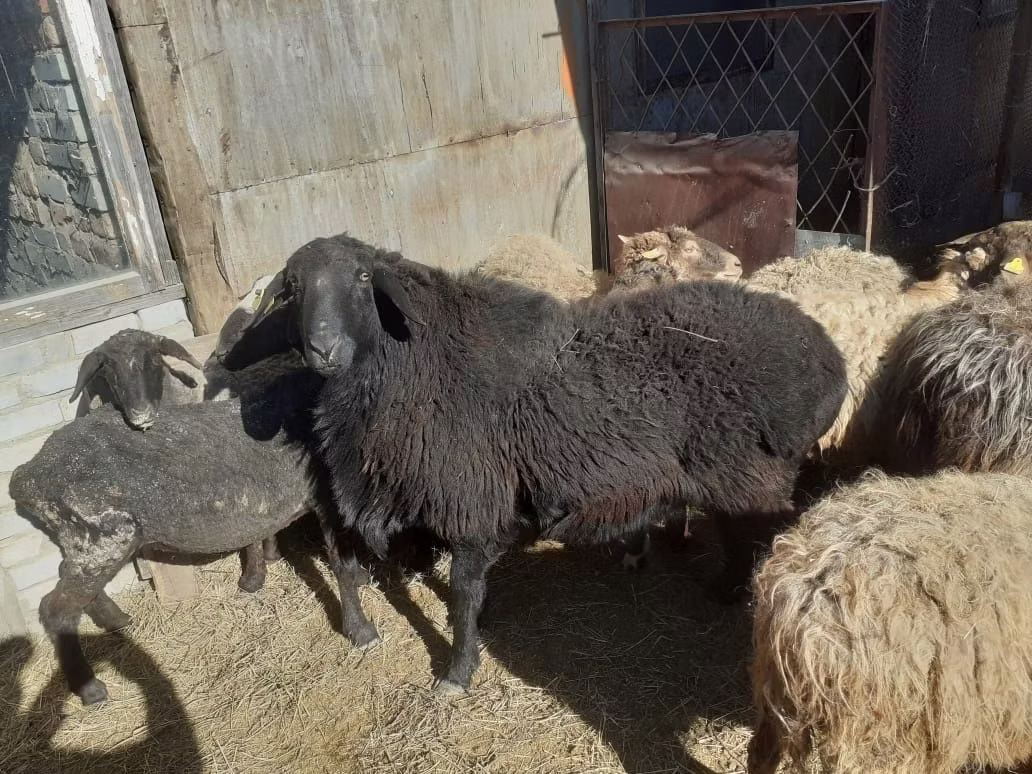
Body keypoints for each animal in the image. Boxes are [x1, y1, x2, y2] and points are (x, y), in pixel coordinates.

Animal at [7, 353, 380, 705]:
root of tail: (27, 477)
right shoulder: (327, 498)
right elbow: (340, 563)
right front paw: (362, 631)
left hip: (89, 539)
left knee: (74, 586)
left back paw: (116, 619)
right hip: (103, 534)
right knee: (55, 609)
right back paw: (90, 689)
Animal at [231, 232, 847, 694]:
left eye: (363, 279)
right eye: (292, 288)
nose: (324, 350)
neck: (413, 363)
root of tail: (828, 357)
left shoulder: (473, 500)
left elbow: (463, 592)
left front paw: (458, 671)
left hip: (753, 472)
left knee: (753, 536)